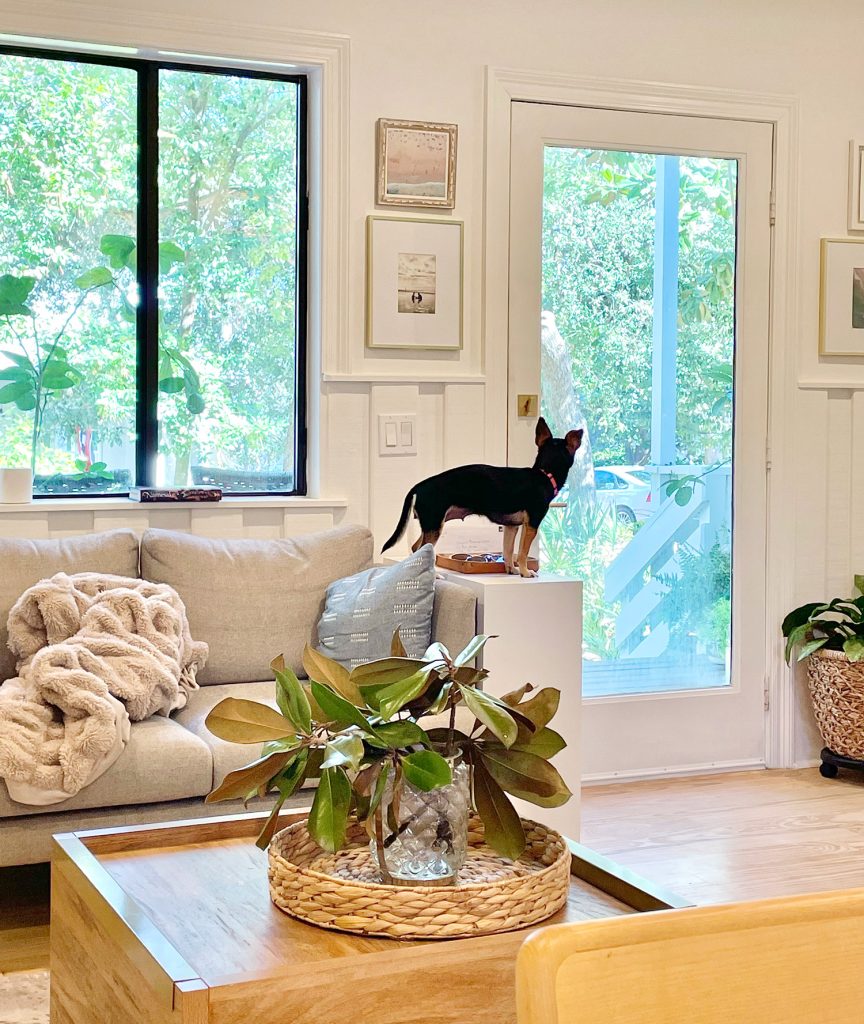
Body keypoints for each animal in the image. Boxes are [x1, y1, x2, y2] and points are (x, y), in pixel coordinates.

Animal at [378, 415, 581, 577]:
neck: (544, 473)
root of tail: (418, 486)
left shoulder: (511, 527)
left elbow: (508, 551)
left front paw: (512, 570)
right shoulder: (531, 525)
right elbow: (522, 552)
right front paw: (525, 572)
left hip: (431, 525)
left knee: (416, 548)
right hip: (435, 525)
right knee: (422, 549)